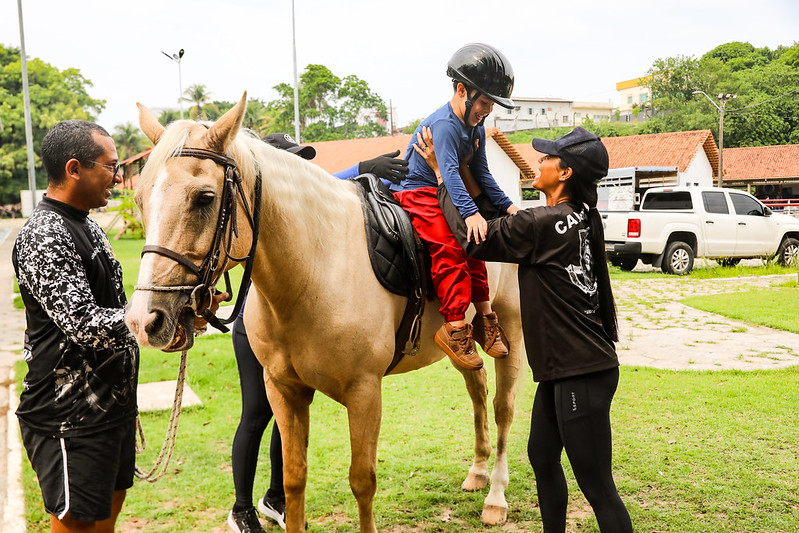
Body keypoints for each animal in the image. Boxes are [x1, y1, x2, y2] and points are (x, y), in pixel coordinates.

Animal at [123, 93, 524, 528]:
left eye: (205, 198)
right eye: (140, 200)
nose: (144, 320)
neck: (316, 269)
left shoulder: (365, 392)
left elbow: (362, 481)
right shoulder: (284, 390)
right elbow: (293, 478)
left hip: (510, 332)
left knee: (503, 408)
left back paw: (496, 496)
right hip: (458, 339)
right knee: (477, 385)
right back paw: (478, 472)